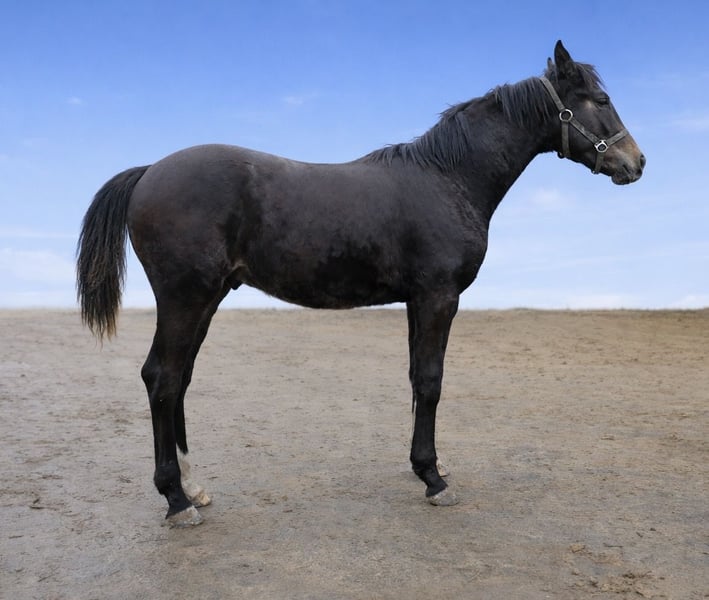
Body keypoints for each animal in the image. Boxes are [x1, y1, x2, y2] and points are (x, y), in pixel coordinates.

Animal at [77, 41, 645, 527]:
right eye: (600, 100)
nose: (635, 163)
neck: (448, 179)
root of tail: (150, 171)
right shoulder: (439, 297)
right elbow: (431, 381)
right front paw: (434, 479)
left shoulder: (418, 300)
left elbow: (417, 378)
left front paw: (426, 467)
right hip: (185, 298)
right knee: (162, 379)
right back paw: (176, 501)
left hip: (207, 298)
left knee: (179, 382)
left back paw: (193, 488)